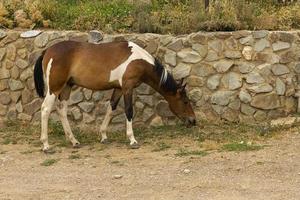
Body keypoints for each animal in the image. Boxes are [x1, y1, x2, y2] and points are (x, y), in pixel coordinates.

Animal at [33, 40, 197, 152]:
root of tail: (48, 50)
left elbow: (111, 109)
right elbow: (129, 111)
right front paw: (132, 139)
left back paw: (74, 141)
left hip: (67, 87)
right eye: (185, 101)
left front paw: (104, 136)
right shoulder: (127, 87)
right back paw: (46, 145)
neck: (138, 60)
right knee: (45, 109)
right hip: (54, 89)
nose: (193, 121)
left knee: (61, 110)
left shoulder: (118, 89)